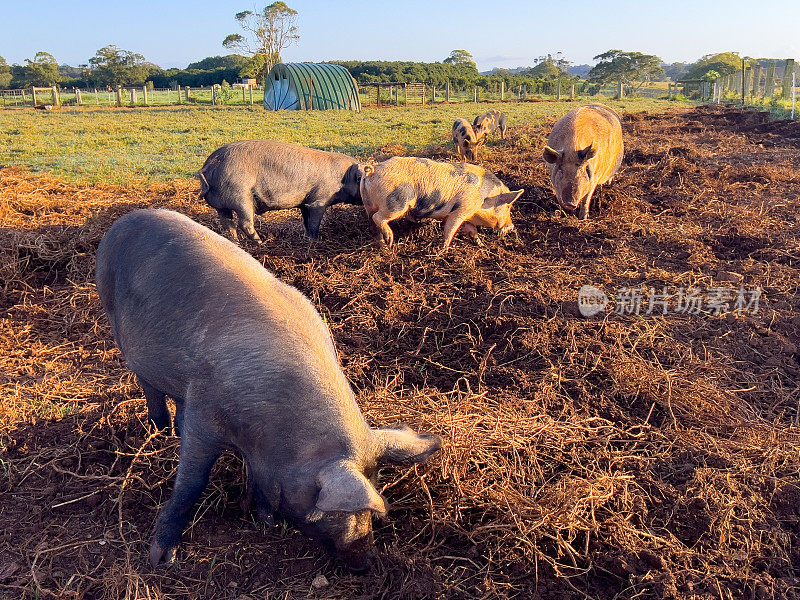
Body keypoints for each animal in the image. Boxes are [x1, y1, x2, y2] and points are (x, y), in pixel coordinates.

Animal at [97, 211, 444, 572]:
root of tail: (122, 222)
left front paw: (265, 520)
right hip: (117, 324)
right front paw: (162, 558)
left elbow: (257, 479)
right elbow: (192, 484)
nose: (364, 563)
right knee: (149, 387)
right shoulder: (205, 415)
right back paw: (162, 432)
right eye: (336, 511)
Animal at [198, 141, 364, 241]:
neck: (343, 178)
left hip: (220, 205)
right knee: (244, 223)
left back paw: (236, 241)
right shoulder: (318, 200)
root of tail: (208, 166)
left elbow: (306, 222)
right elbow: (314, 223)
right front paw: (316, 241)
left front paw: (307, 238)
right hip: (240, 196)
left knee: (228, 224)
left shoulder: (305, 203)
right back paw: (261, 242)